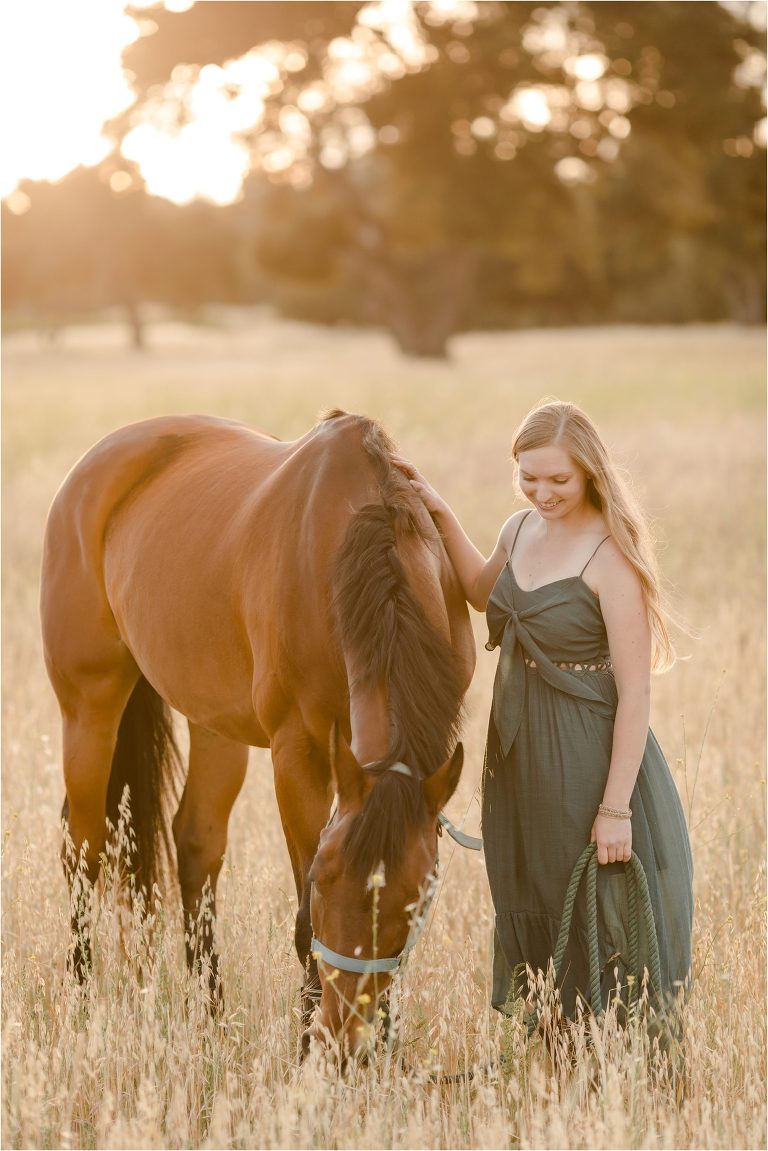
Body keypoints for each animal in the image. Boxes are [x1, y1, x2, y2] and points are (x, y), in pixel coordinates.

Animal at [40, 409, 476, 1051]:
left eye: (415, 902)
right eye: (324, 879)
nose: (344, 1034)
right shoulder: (298, 753)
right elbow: (300, 923)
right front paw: (306, 1044)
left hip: (213, 722)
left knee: (195, 842)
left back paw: (212, 1019)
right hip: (89, 707)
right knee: (85, 846)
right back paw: (81, 1001)